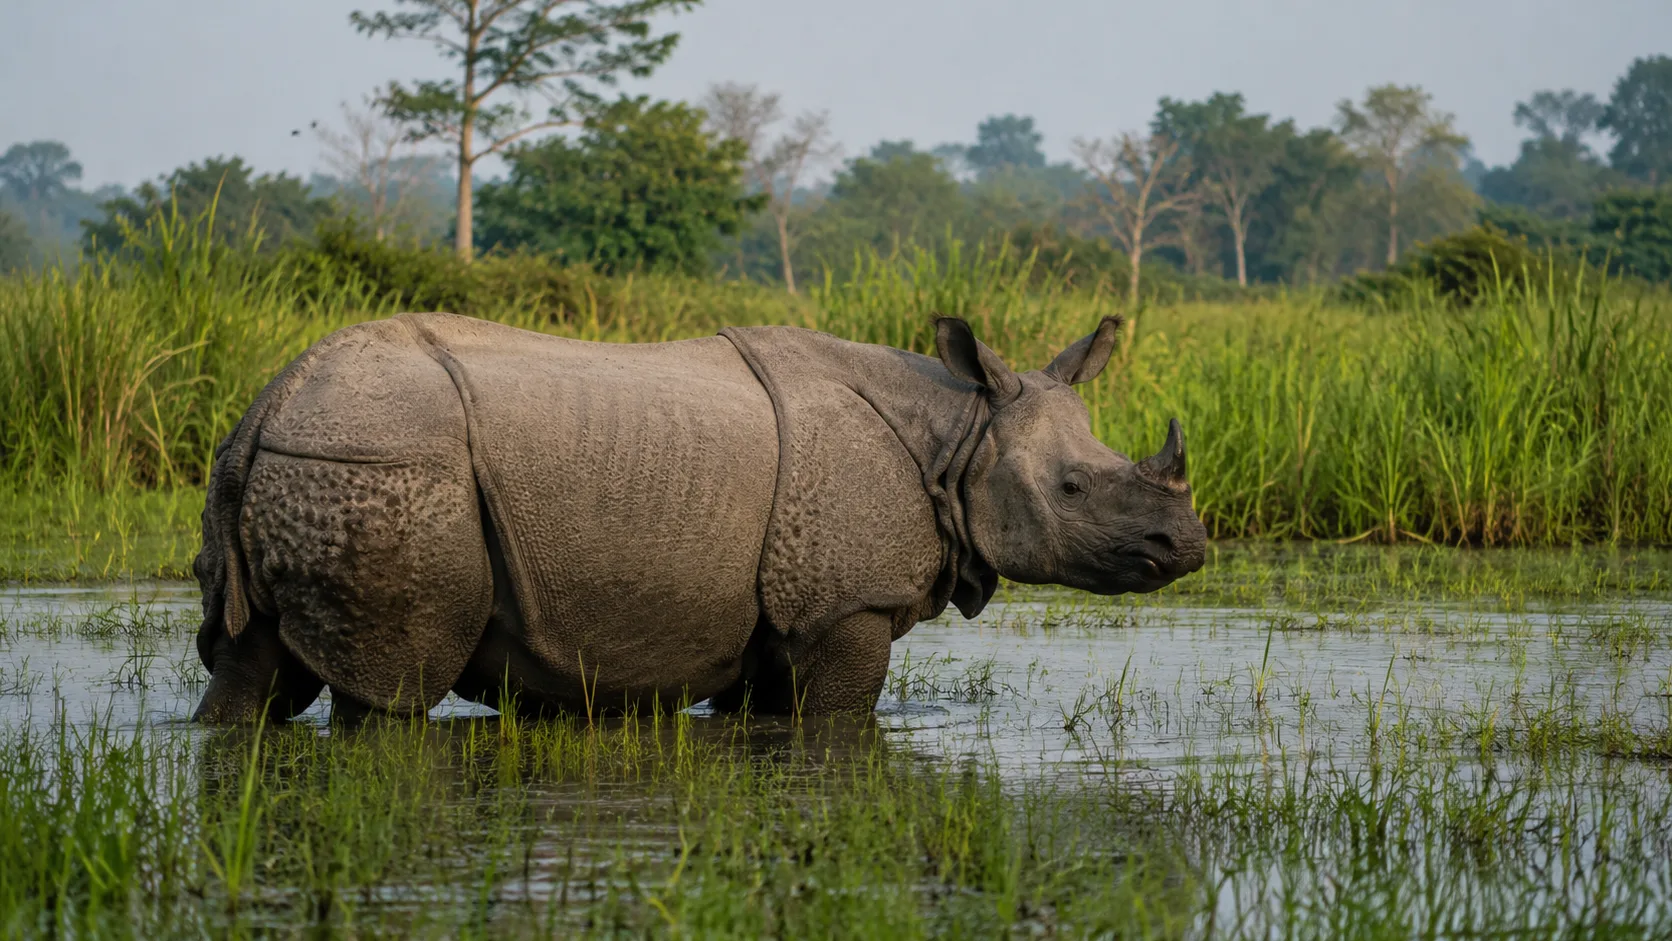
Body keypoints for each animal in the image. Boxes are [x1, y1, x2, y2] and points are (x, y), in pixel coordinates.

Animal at [192, 313, 1207, 723]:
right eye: (1073, 490)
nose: (1187, 544)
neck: (959, 429)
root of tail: (272, 403)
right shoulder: (845, 605)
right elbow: (839, 719)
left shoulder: (775, 616)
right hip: (390, 468)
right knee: (390, 696)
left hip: (306, 464)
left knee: (251, 672)